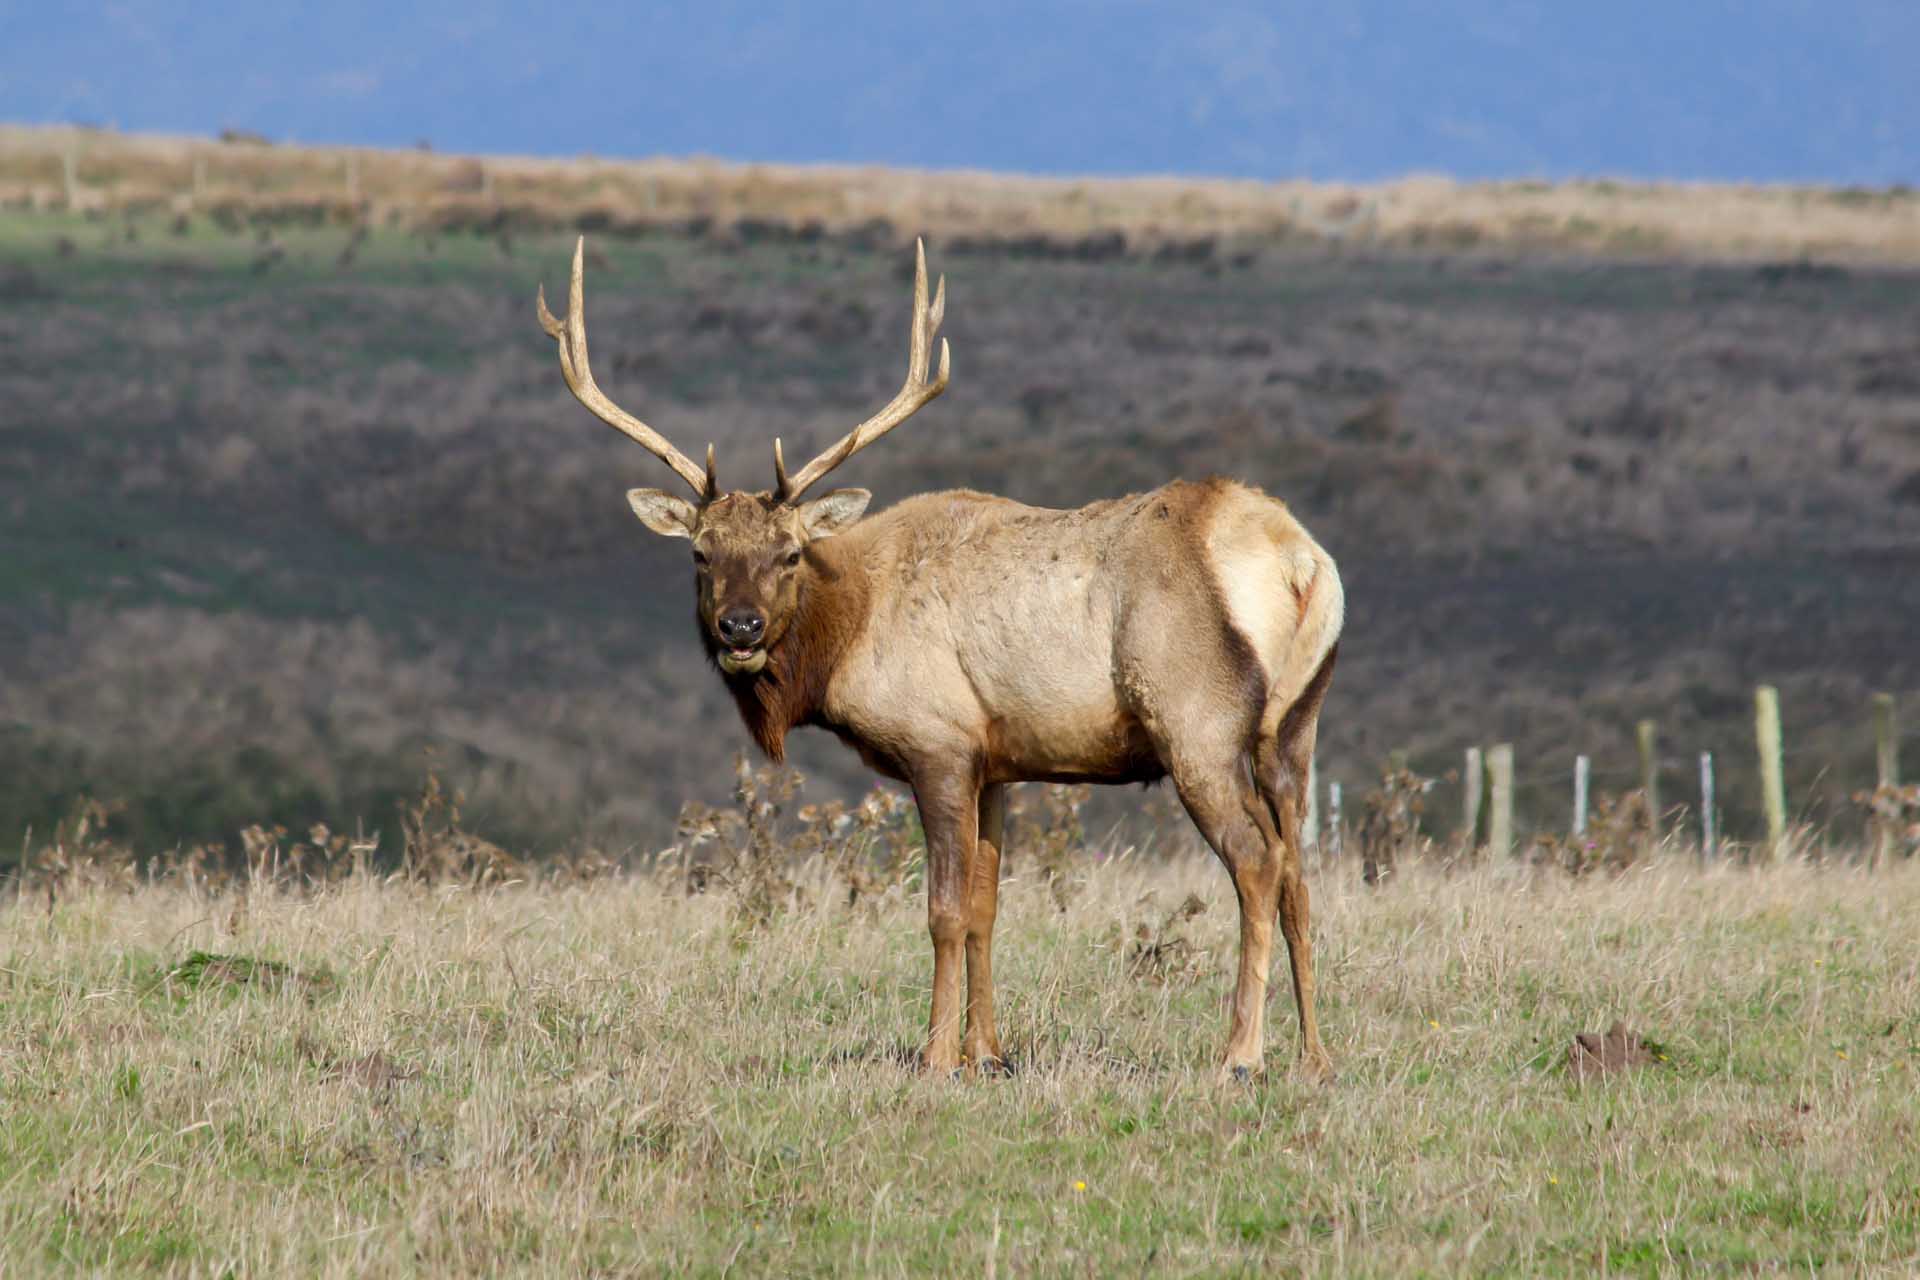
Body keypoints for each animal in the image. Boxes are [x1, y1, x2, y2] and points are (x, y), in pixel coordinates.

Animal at [533, 239, 1344, 1082]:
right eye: (701, 553)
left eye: (789, 552)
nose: (740, 628)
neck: (848, 633)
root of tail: (1300, 560)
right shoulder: (999, 761)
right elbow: (989, 905)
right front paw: (989, 1051)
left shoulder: (939, 742)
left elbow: (944, 910)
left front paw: (937, 1055)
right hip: (1296, 726)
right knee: (1299, 873)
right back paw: (1315, 1056)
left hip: (1197, 721)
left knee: (1256, 860)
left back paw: (1240, 1054)